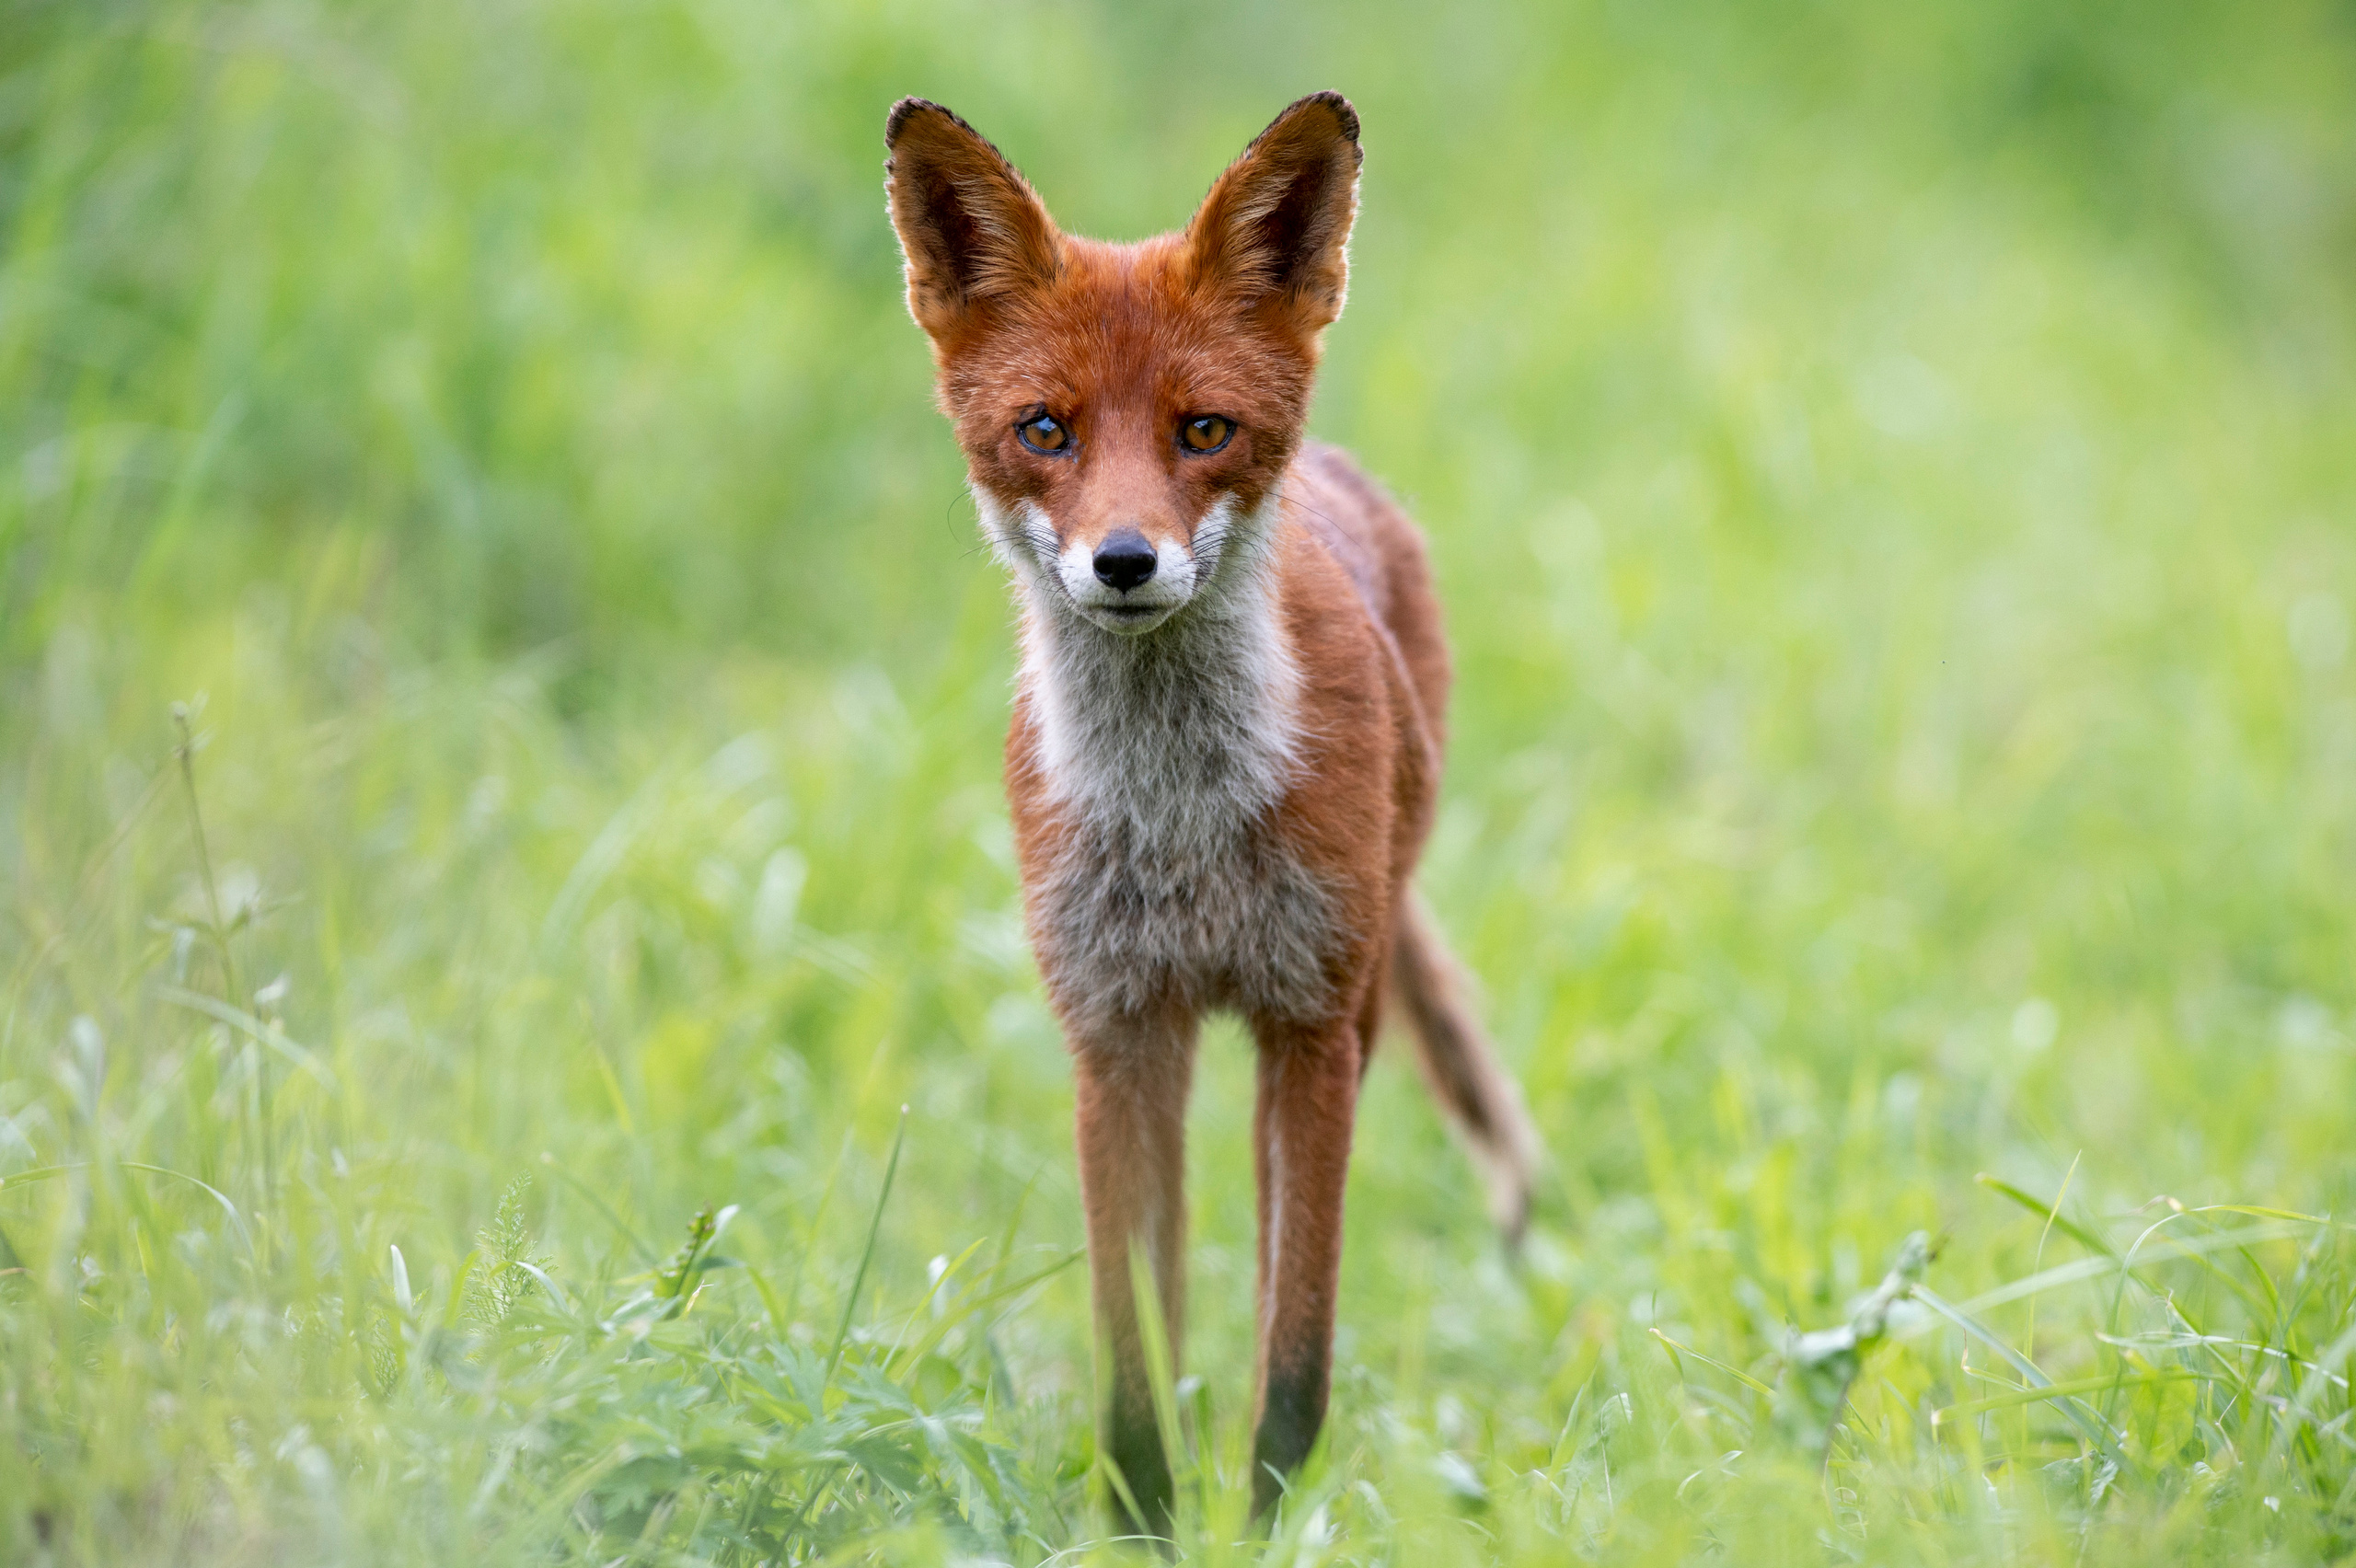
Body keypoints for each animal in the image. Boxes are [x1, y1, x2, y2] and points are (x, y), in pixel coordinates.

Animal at [883, 91, 1542, 1535]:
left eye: (1203, 431)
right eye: (1046, 430)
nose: (1124, 562)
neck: (1184, 821)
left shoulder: (1309, 1026)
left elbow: (1293, 1363)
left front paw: (1269, 1528)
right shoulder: (1114, 1030)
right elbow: (1132, 1363)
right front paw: (1146, 1525)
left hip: (1337, 1008)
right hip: (1186, 1053)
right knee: (1180, 1289)